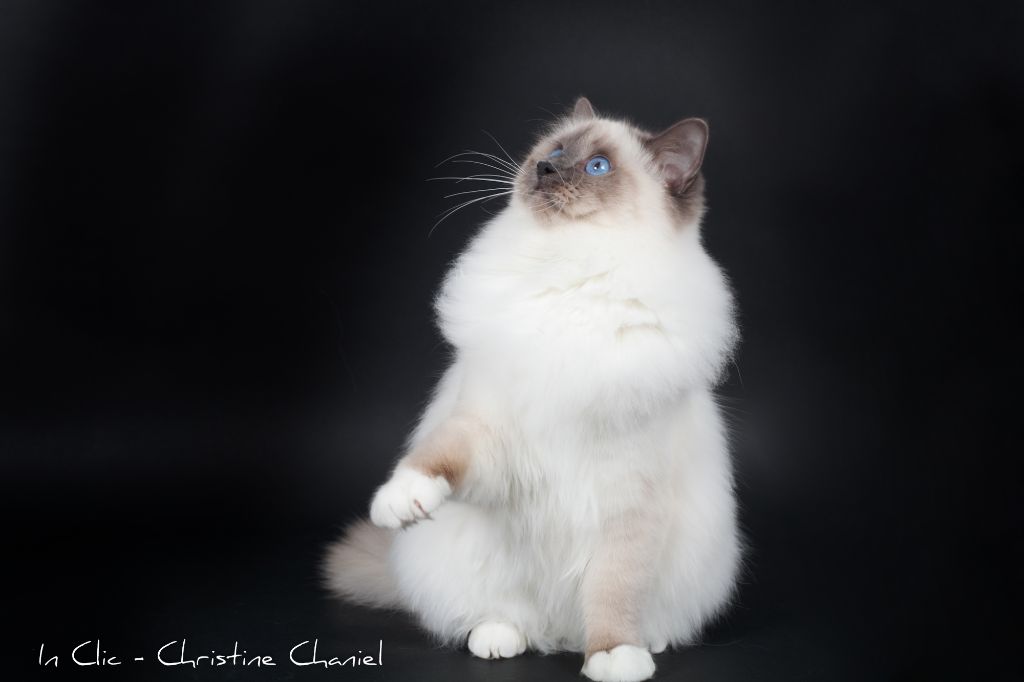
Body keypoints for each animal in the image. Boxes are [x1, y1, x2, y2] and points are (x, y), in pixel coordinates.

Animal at [323, 95, 741, 679]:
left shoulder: (628, 498)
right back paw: (499, 638)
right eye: (555, 151)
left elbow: (614, 589)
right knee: (500, 614)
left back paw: (642, 644)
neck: (570, 274)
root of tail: (561, 635)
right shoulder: (491, 432)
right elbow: (438, 457)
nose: (544, 168)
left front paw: (613, 656)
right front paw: (402, 500)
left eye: (598, 167)